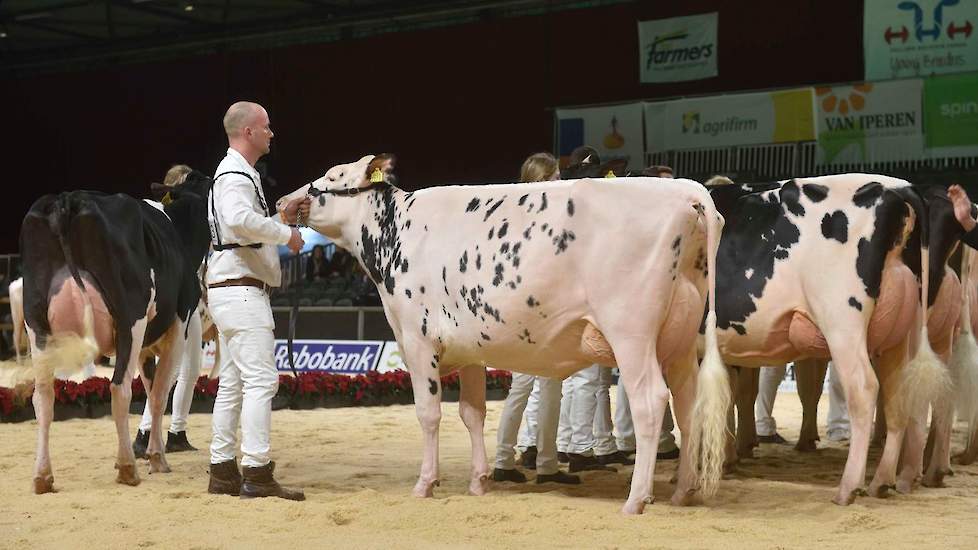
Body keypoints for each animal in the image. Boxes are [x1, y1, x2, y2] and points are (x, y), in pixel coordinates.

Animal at [21, 170, 212, 494]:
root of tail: (68, 199)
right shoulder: (176, 326)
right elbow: (159, 394)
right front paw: (157, 458)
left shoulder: (146, 346)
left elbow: (150, 388)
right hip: (129, 319)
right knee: (119, 388)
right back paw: (127, 468)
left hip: (36, 323)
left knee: (43, 397)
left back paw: (42, 477)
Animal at [278, 155, 728, 516]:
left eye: (333, 175)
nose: (283, 202)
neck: (399, 235)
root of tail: (687, 192)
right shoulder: (470, 348)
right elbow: (472, 413)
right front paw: (478, 481)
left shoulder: (418, 341)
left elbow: (429, 414)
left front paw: (425, 483)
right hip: (680, 340)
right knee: (688, 405)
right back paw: (683, 490)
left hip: (631, 333)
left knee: (650, 402)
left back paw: (636, 499)